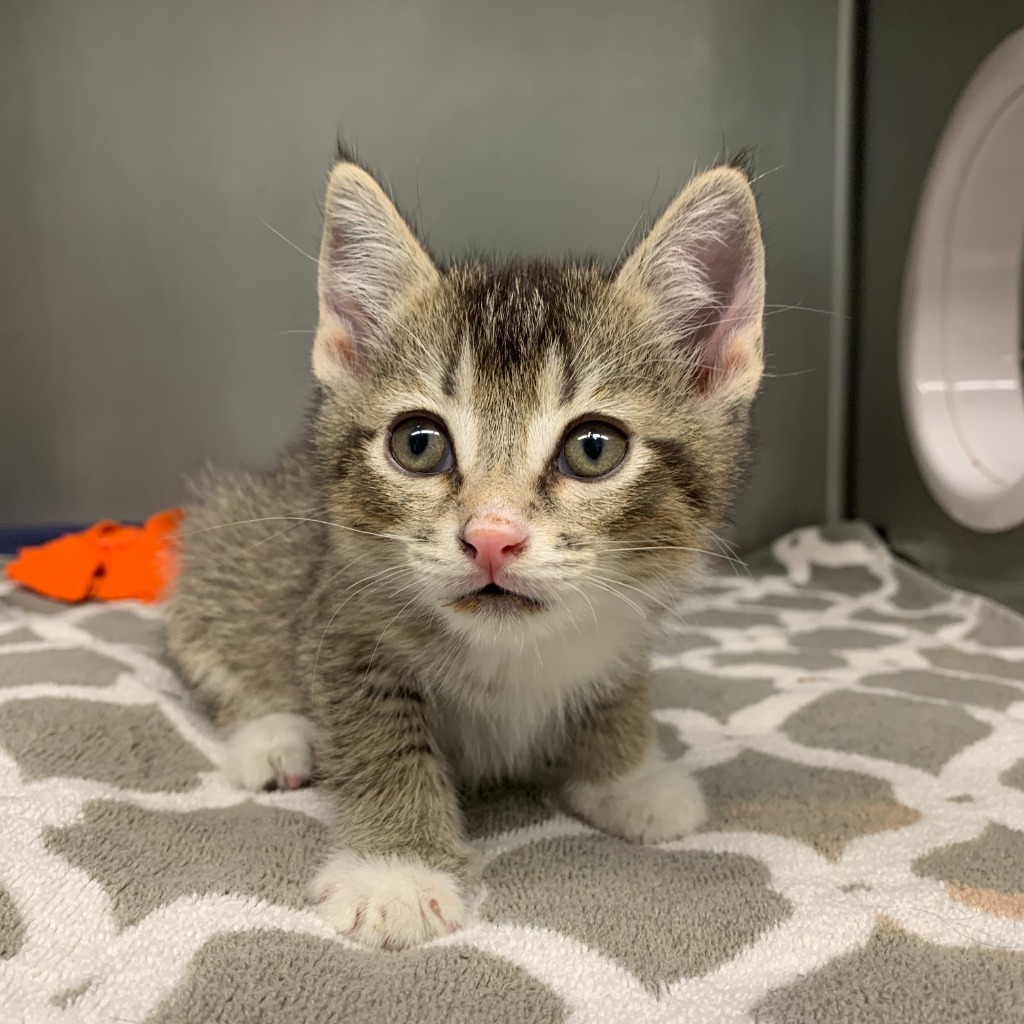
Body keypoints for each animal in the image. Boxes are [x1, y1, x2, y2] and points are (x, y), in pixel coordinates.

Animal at [163, 151, 765, 950]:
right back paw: (273, 737)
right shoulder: (344, 618)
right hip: (229, 534)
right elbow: (384, 743)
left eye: (594, 449)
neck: (513, 650)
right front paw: (396, 872)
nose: (490, 537)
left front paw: (626, 775)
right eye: (418, 444)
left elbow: (615, 689)